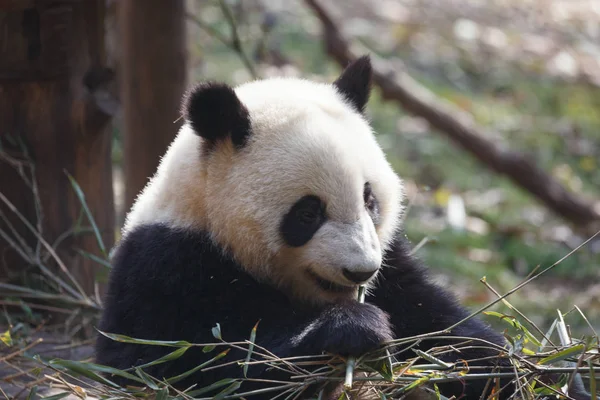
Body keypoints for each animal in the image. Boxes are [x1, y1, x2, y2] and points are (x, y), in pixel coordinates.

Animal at [95, 57, 592, 400]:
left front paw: (547, 376)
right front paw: (354, 331)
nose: (359, 272)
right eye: (308, 213)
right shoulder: (167, 266)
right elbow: (174, 363)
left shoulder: (394, 270)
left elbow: (448, 333)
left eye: (369, 199)